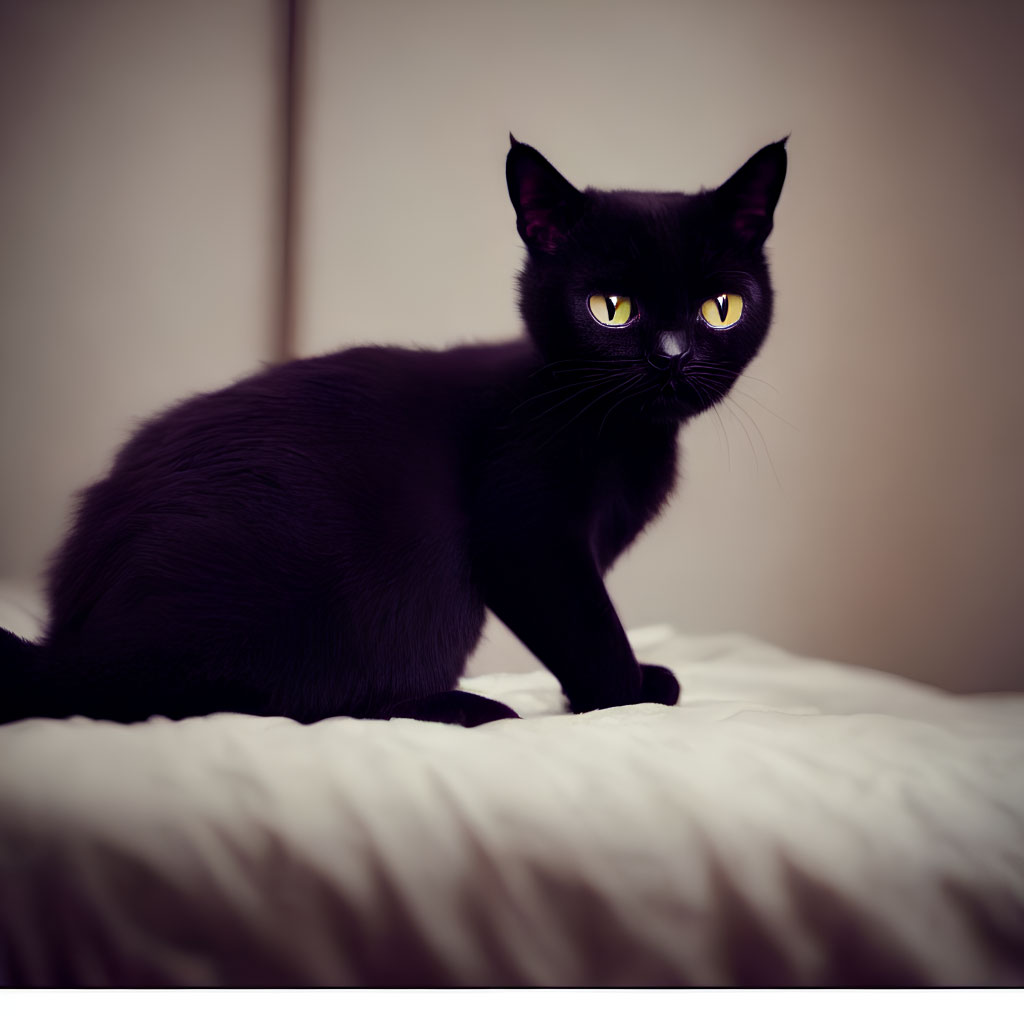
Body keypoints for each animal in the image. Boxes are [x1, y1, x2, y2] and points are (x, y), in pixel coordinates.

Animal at [0, 138, 786, 729]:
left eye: (720, 307)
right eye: (611, 307)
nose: (672, 355)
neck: (627, 436)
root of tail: (66, 647)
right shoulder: (529, 538)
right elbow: (589, 630)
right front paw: (623, 696)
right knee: (259, 701)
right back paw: (462, 707)